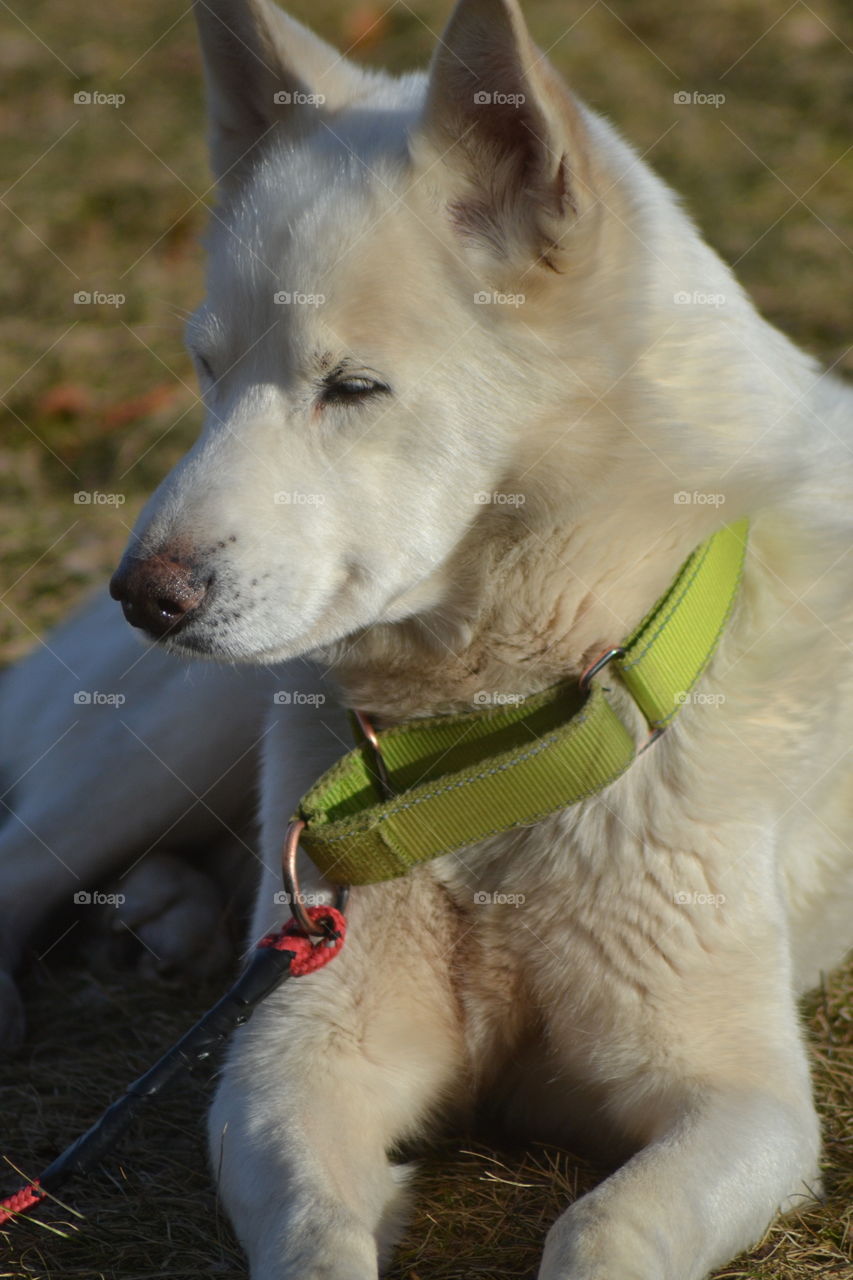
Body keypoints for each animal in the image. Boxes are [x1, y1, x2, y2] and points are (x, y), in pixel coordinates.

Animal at [0, 2, 845, 1280]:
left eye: (352, 387)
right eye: (206, 368)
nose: (141, 594)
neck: (492, 740)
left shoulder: (743, 1101)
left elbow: (607, 1219)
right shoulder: (297, 1050)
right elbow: (314, 1230)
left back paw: (165, 921)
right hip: (175, 732)